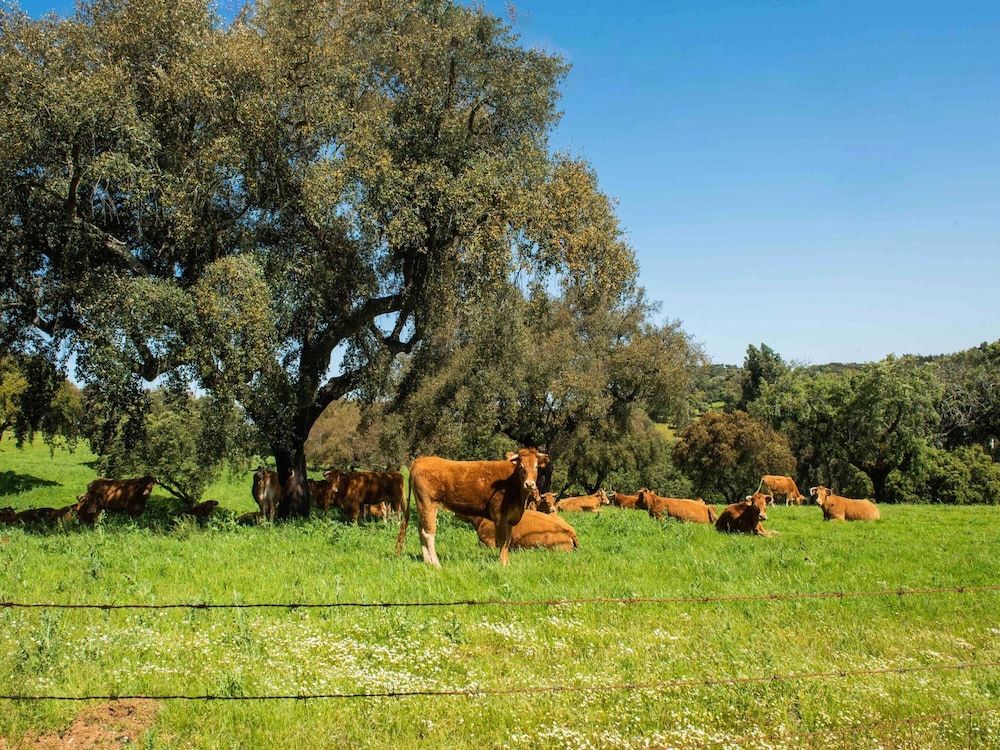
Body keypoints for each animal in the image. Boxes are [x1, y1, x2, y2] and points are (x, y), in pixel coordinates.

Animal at [396, 450, 552, 568]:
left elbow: (507, 541)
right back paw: (436, 564)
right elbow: (502, 540)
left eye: (536, 467)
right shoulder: (499, 516)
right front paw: (502, 563)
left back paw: (427, 562)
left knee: (421, 530)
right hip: (428, 504)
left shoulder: (511, 519)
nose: (530, 484)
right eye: (521, 466)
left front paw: (506, 562)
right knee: (428, 533)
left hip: (423, 506)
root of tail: (421, 460)